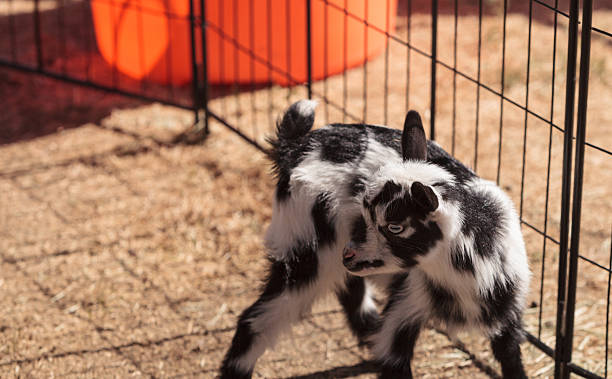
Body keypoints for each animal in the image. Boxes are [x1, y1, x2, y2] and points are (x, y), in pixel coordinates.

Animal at [220, 101, 532, 379]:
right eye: (365, 213)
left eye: (395, 227)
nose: (350, 254)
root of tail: (295, 148)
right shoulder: (406, 304)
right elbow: (393, 357)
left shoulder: (508, 314)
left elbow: (511, 360)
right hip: (305, 250)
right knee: (255, 321)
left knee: (350, 290)